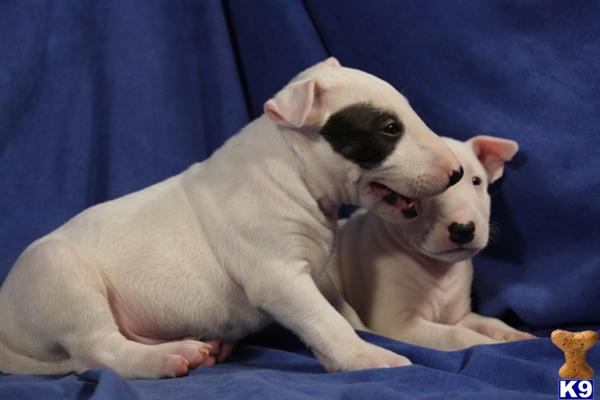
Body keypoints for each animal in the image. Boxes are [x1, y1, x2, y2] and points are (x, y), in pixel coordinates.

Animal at [0, 57, 464, 378]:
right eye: (389, 129)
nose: (456, 172)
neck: (291, 169)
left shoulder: (316, 273)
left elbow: (341, 309)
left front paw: (372, 333)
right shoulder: (277, 274)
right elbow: (325, 320)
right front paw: (368, 356)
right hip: (61, 274)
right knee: (99, 351)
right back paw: (170, 357)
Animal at [322, 135, 536, 350]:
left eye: (476, 181)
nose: (463, 229)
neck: (439, 269)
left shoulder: (458, 317)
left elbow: (488, 321)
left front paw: (514, 334)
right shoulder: (398, 324)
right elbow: (456, 335)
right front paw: (486, 343)